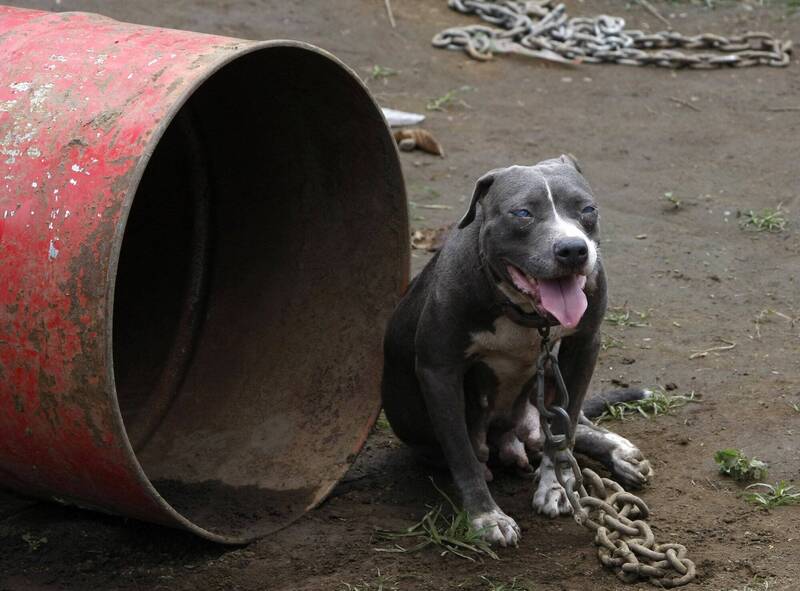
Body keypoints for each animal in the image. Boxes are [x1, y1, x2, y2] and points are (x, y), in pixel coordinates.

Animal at [384, 156, 652, 544]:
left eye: (588, 210)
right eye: (522, 213)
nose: (573, 249)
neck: (525, 312)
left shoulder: (584, 345)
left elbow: (566, 430)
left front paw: (555, 486)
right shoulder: (439, 369)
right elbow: (462, 454)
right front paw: (486, 516)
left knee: (571, 426)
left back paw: (620, 452)